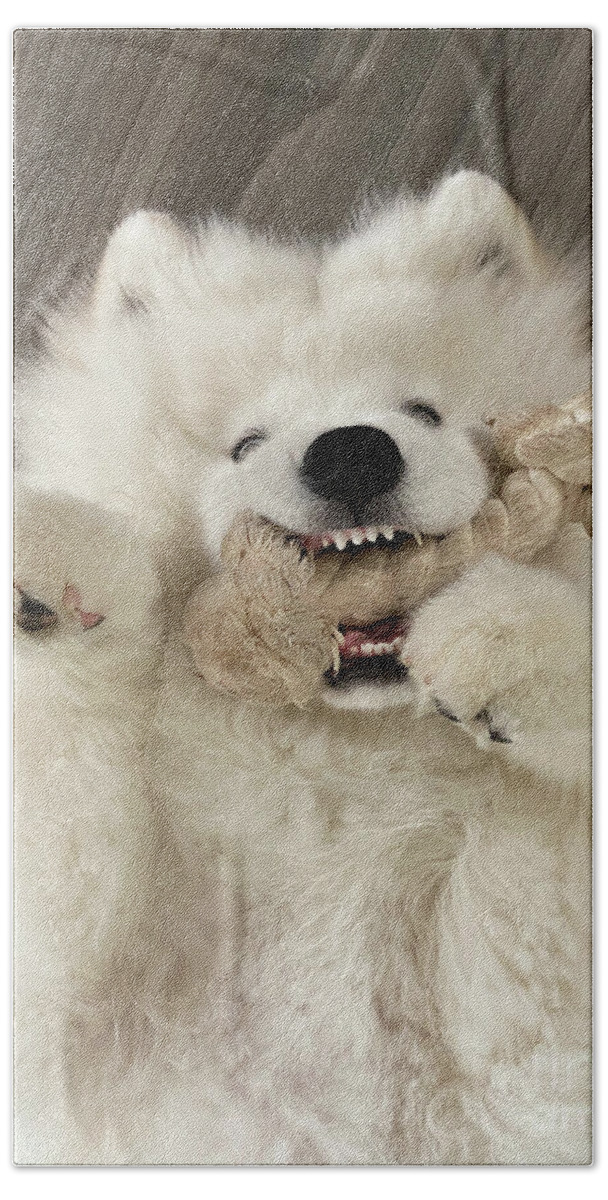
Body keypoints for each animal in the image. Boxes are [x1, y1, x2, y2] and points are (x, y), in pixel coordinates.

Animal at [14, 171, 592, 1161]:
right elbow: (67, 778)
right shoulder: (73, 1029)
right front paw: (61, 571)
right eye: (246, 442)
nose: (352, 449)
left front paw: (502, 639)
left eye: (424, 411)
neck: (341, 769)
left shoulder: (531, 1002)